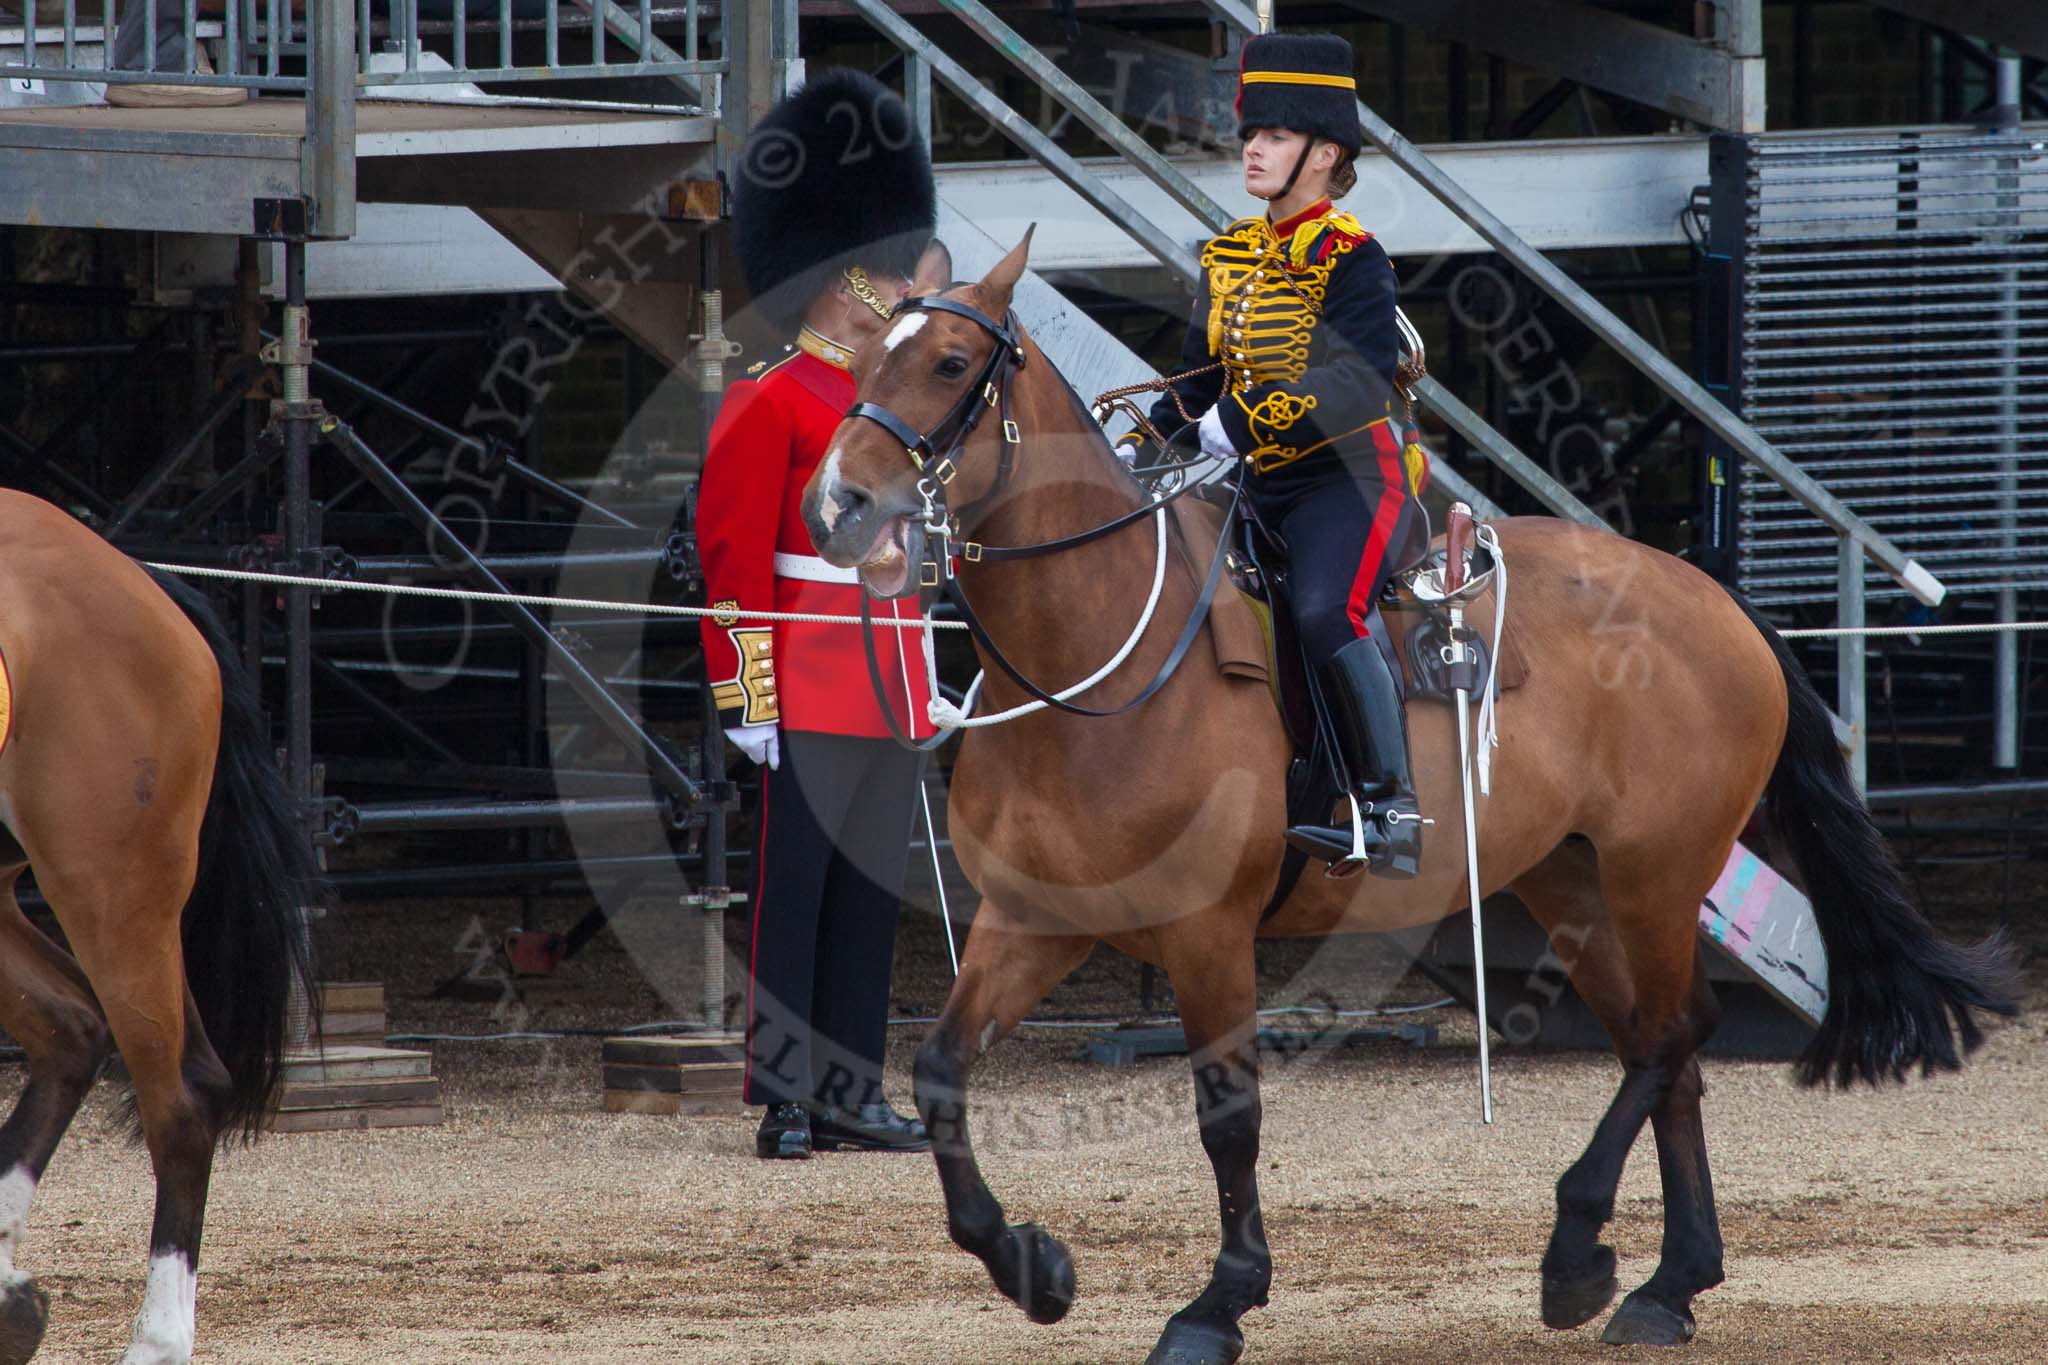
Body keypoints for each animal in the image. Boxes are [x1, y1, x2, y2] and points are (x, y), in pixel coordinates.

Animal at [798, 240, 2015, 1358]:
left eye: (951, 362)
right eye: (869, 354)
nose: (836, 503)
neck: (1096, 656)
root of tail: (1707, 594)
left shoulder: (1206, 933)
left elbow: (1227, 1114)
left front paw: (1219, 1302)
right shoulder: (1034, 922)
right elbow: (941, 1073)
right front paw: (1032, 1266)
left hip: (1658, 871)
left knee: (1677, 1034)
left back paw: (1580, 1247)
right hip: (1574, 881)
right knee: (1659, 1050)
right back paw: (1667, 1283)